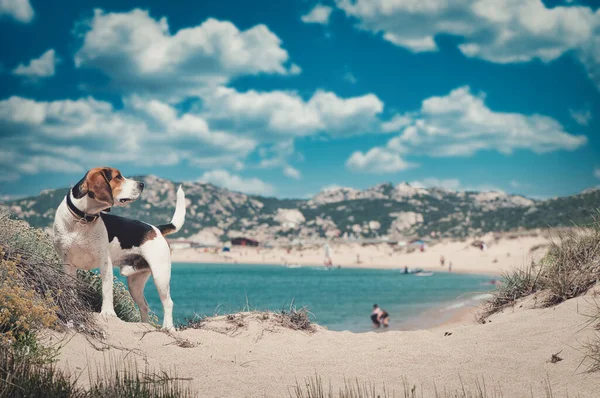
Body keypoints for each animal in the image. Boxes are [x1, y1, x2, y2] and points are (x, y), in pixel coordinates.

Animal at [53, 166, 186, 328]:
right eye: (118, 177)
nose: (142, 184)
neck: (82, 218)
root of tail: (156, 228)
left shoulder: (105, 262)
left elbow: (106, 290)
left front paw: (107, 313)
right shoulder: (67, 264)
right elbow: (71, 288)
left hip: (160, 275)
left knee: (168, 303)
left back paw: (168, 328)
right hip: (135, 284)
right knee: (144, 306)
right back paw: (144, 325)